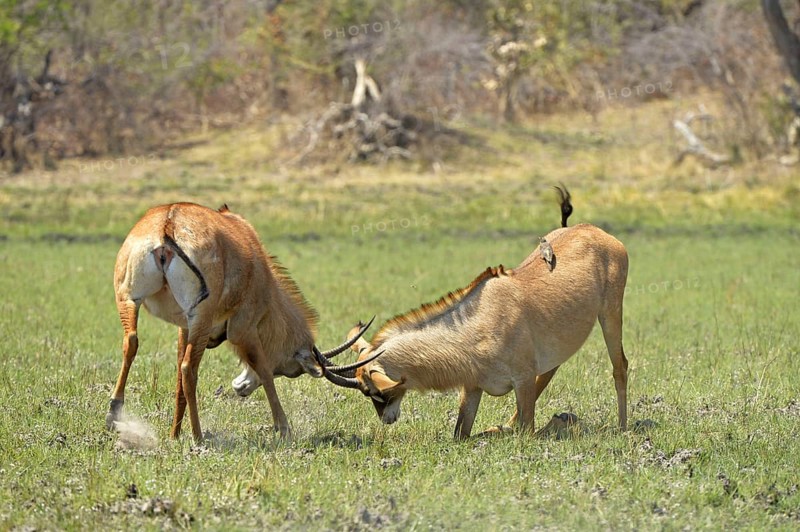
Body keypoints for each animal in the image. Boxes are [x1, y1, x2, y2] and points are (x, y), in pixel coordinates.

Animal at [108, 202, 377, 442]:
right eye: (290, 370)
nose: (241, 388)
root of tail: (169, 223)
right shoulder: (244, 329)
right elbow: (264, 370)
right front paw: (284, 429)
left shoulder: (184, 327)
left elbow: (177, 381)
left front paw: (174, 435)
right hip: (201, 317)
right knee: (188, 368)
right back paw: (198, 436)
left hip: (130, 300)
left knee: (131, 342)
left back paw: (114, 413)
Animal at [316, 187, 630, 439]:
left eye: (375, 391)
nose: (387, 419)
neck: (479, 324)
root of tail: (594, 231)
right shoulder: (473, 387)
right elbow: (462, 433)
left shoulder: (523, 380)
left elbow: (526, 431)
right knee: (552, 368)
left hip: (611, 313)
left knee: (620, 366)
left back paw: (622, 427)